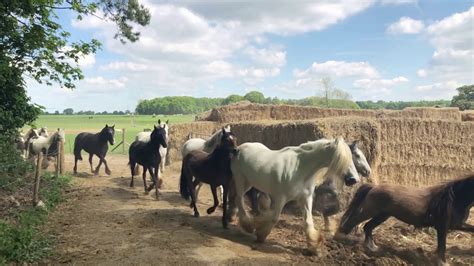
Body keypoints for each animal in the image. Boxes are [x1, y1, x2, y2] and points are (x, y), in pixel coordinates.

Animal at [336, 175, 474, 266]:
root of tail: (374, 187)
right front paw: (442, 262)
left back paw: (372, 248)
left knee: (367, 227)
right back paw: (341, 237)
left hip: (382, 215)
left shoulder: (457, 224)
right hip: (370, 211)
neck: (454, 198)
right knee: (354, 220)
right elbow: (442, 246)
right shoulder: (442, 226)